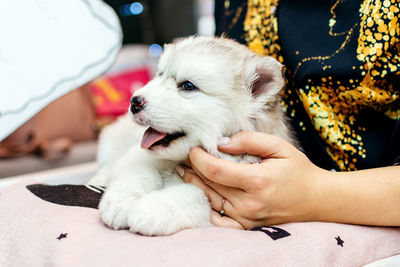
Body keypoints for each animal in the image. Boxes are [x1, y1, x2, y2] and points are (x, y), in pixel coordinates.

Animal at [90, 35, 296, 237]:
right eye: (159, 75)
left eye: (188, 86)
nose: (134, 102)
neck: (178, 161)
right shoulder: (138, 156)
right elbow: (139, 174)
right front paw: (120, 202)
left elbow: (190, 195)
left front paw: (150, 210)